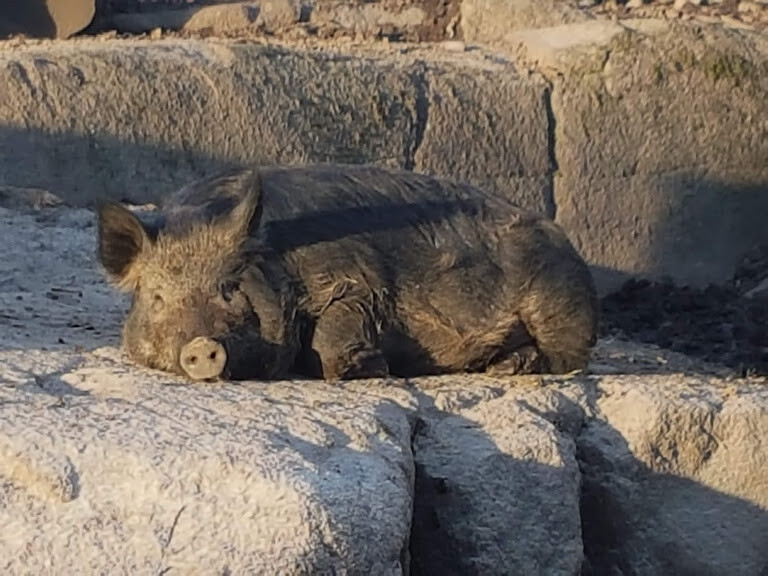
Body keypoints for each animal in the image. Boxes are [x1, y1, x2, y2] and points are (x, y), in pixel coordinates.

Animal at [96, 163, 599, 382]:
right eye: (157, 297)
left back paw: (512, 368)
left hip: (558, 297)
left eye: (230, 288)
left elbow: (336, 332)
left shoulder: (358, 281)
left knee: (570, 355)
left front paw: (373, 368)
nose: (201, 346)